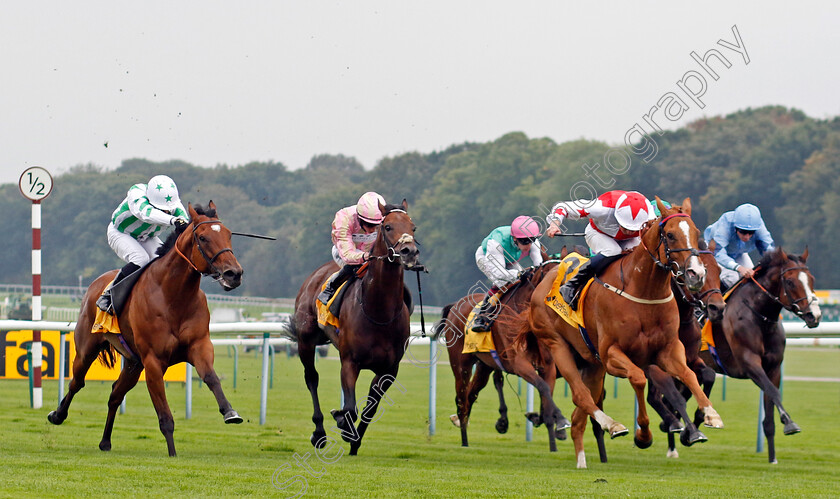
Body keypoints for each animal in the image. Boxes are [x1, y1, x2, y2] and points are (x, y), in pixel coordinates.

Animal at [47, 202, 243, 458]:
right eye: (203, 237)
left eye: (229, 234)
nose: (234, 274)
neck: (173, 296)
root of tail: (95, 284)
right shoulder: (153, 361)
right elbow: (165, 416)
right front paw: (172, 453)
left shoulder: (198, 346)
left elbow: (211, 377)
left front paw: (230, 412)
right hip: (87, 349)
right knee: (77, 382)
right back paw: (57, 415)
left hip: (133, 363)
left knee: (115, 395)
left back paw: (105, 442)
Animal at [288, 200, 420, 458]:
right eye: (388, 227)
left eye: (413, 227)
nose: (409, 251)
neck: (379, 313)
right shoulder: (350, 361)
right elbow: (350, 407)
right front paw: (342, 424)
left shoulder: (389, 370)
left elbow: (369, 409)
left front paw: (355, 441)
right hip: (305, 340)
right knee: (312, 378)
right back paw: (319, 432)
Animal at [440, 256, 572, 456]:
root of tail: (455, 305)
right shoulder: (518, 363)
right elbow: (542, 387)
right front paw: (561, 421)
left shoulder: (548, 366)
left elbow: (546, 395)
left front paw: (554, 442)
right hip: (461, 365)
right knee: (462, 399)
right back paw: (464, 440)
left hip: (484, 365)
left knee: (471, 395)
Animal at [516, 198, 724, 468]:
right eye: (670, 235)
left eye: (696, 234)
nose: (696, 274)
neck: (644, 292)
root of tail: (543, 281)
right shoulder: (613, 355)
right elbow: (638, 379)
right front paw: (644, 435)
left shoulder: (669, 350)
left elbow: (689, 375)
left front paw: (710, 415)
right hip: (558, 347)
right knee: (581, 396)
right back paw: (612, 425)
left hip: (592, 365)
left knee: (579, 416)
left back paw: (582, 460)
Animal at [696, 248, 820, 462]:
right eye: (790, 282)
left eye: (811, 279)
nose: (815, 315)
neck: (759, 317)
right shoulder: (750, 364)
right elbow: (774, 392)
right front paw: (789, 423)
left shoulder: (774, 368)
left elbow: (769, 411)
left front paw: (772, 459)